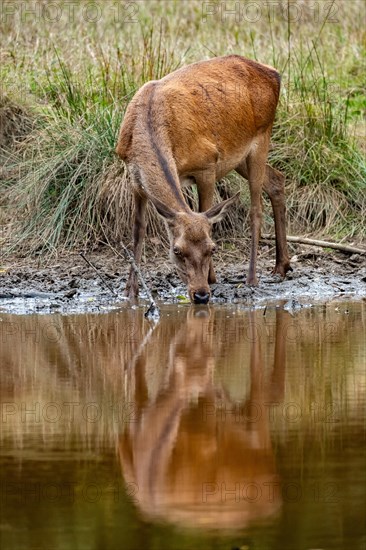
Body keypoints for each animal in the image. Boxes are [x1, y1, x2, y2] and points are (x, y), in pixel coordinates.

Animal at [116, 54, 290, 304]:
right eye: (177, 250)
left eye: (212, 248)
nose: (200, 295)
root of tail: (274, 73)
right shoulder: (134, 180)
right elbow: (138, 230)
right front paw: (130, 291)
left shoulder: (207, 163)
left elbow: (206, 212)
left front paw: (212, 277)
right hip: (239, 158)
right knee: (277, 179)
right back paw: (282, 265)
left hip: (261, 137)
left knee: (256, 209)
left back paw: (252, 278)